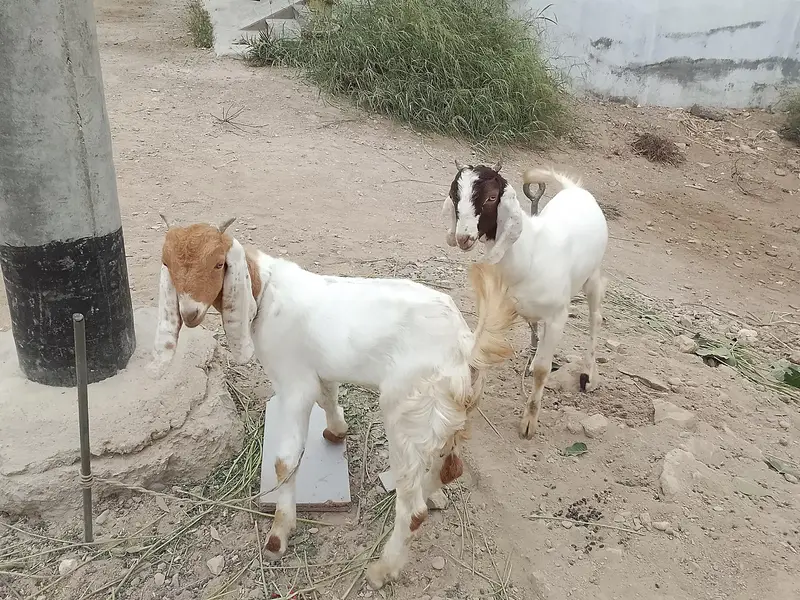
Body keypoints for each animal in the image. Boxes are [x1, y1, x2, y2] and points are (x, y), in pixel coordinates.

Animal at [147, 217, 518, 589]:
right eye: (168, 264)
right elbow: (327, 396)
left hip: (408, 415)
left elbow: (284, 462)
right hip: (449, 414)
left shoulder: (293, 385)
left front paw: (278, 536)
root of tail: (465, 345)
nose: (190, 314)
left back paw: (382, 570)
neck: (265, 292)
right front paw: (337, 431)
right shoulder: (319, 371)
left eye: (218, 264)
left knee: (413, 510)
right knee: (450, 468)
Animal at [442, 161, 609, 440]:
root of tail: (574, 189)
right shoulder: (498, 308)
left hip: (593, 276)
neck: (530, 254)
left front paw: (529, 422)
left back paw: (588, 374)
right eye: (455, 194)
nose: (464, 238)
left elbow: (543, 369)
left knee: (595, 319)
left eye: (491, 197)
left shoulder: (557, 317)